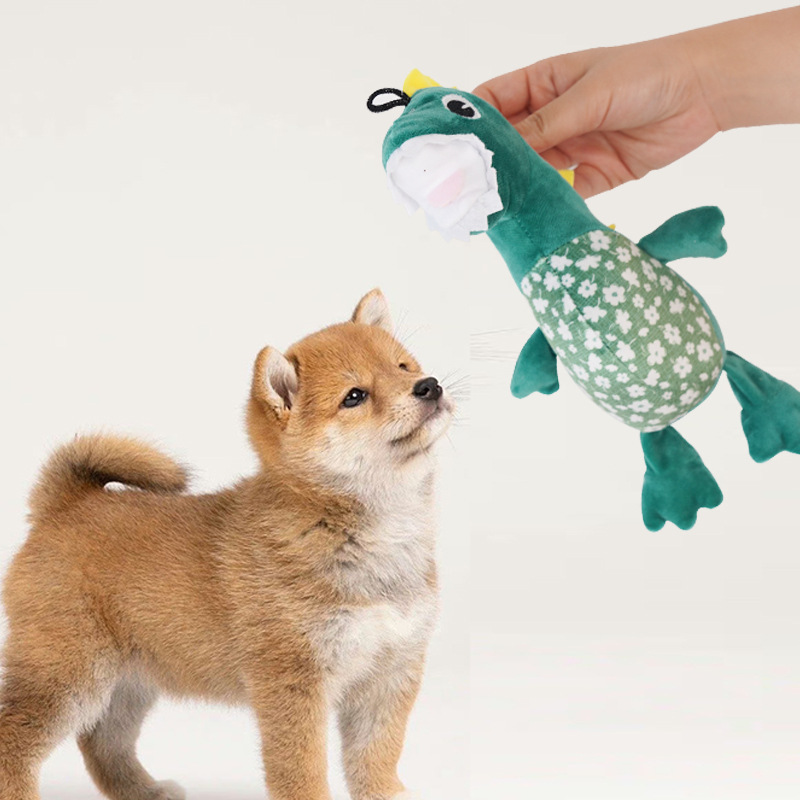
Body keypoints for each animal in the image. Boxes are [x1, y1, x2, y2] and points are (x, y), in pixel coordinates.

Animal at [0, 289, 454, 800]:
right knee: (13, 739)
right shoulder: (292, 682)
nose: (429, 386)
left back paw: (146, 791)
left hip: (127, 684)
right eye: (354, 396)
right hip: (66, 674)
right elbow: (302, 772)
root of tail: (64, 504)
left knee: (101, 742)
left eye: (404, 367)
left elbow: (376, 764)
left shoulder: (389, 674)